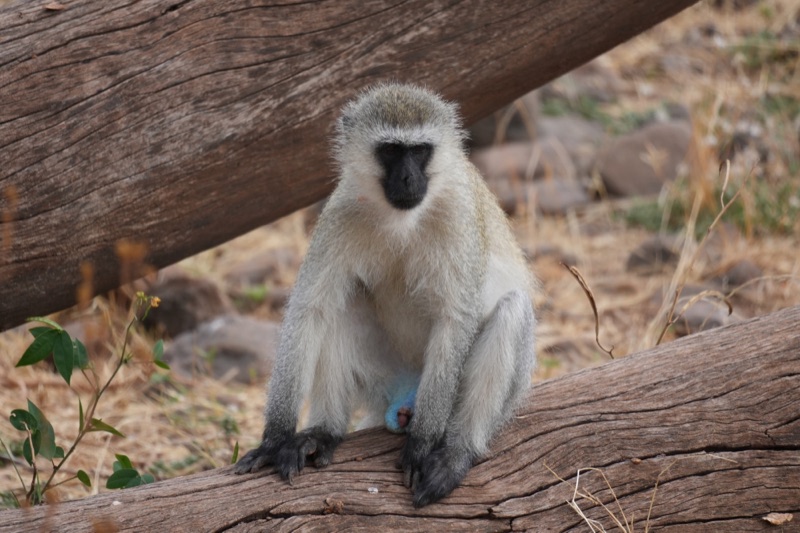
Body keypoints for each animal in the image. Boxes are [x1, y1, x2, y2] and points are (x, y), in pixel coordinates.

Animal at [234, 82, 536, 507]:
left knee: (512, 310)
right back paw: (324, 433)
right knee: (339, 305)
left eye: (420, 151)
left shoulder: (458, 217)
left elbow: (456, 319)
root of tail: (405, 393)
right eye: (391, 151)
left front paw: (424, 444)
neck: (402, 220)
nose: (408, 178)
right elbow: (310, 311)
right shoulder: (341, 212)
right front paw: (275, 437)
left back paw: (457, 451)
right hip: (380, 376)